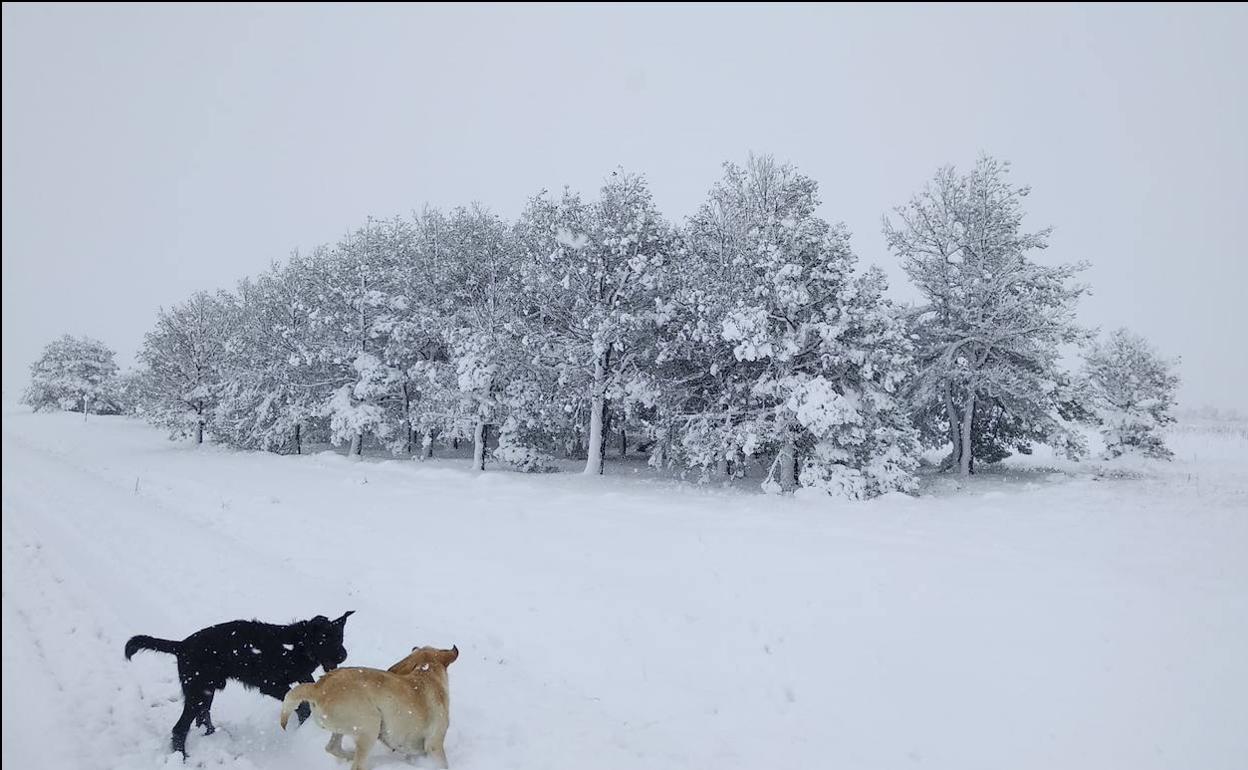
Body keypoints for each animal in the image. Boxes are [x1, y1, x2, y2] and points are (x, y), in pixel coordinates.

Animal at [126, 609, 354, 753]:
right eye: (325, 639)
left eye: (340, 638)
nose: (344, 655)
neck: (296, 645)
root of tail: (181, 645)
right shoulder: (270, 684)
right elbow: (301, 705)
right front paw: (302, 724)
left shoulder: (301, 675)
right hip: (197, 691)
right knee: (180, 728)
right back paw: (182, 757)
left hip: (205, 692)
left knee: (202, 716)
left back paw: (211, 735)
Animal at [280, 643, 461, 768]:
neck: (426, 673)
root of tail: (317, 687)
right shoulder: (434, 745)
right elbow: (443, 764)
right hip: (370, 726)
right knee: (356, 764)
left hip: (345, 729)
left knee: (332, 747)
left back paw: (350, 754)